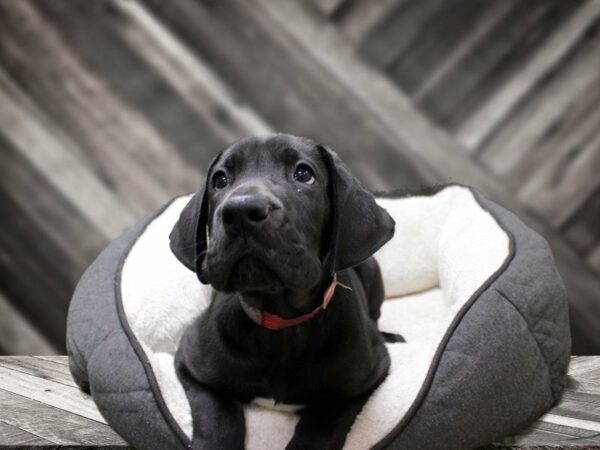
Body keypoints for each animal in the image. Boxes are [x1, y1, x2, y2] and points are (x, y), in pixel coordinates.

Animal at [171, 134, 398, 450]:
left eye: (303, 174)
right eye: (220, 179)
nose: (241, 211)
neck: (282, 324)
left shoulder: (368, 377)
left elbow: (321, 426)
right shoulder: (191, 364)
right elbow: (218, 419)